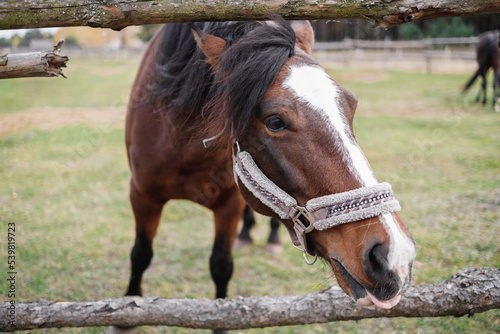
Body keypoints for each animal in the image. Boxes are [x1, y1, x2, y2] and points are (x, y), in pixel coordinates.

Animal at [116, 17, 414, 332]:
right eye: (275, 121)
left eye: (352, 104)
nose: (394, 255)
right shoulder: (142, 195)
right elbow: (140, 255)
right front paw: (127, 317)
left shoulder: (229, 204)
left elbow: (221, 266)